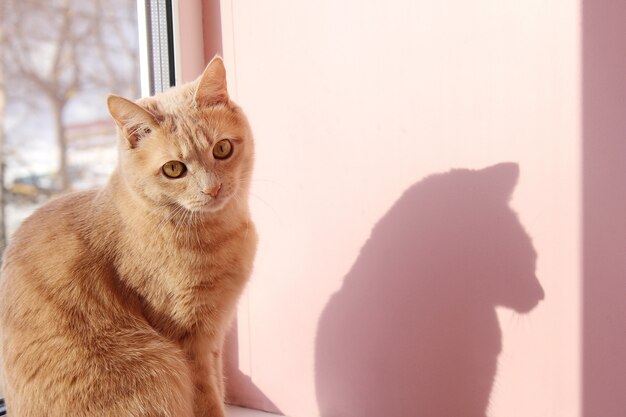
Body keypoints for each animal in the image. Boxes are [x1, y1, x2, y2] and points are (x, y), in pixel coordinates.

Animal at [0, 56, 258, 416]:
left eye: (222, 149)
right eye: (174, 169)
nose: (213, 188)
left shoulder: (215, 338)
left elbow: (218, 387)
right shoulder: (189, 342)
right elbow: (207, 399)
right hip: (157, 364)